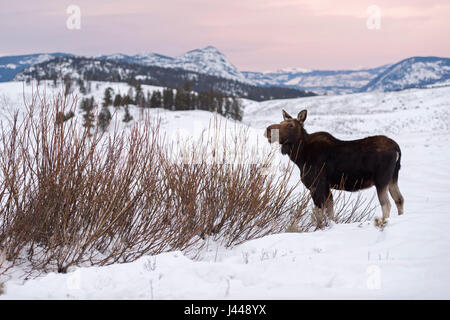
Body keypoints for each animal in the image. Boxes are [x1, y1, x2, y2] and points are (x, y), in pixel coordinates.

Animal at [266, 110, 406, 225]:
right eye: (281, 122)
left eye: (290, 125)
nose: (268, 130)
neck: (300, 156)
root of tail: (397, 149)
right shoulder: (326, 187)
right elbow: (330, 212)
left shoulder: (317, 185)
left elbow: (319, 213)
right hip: (393, 178)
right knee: (399, 199)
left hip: (381, 180)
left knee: (386, 204)